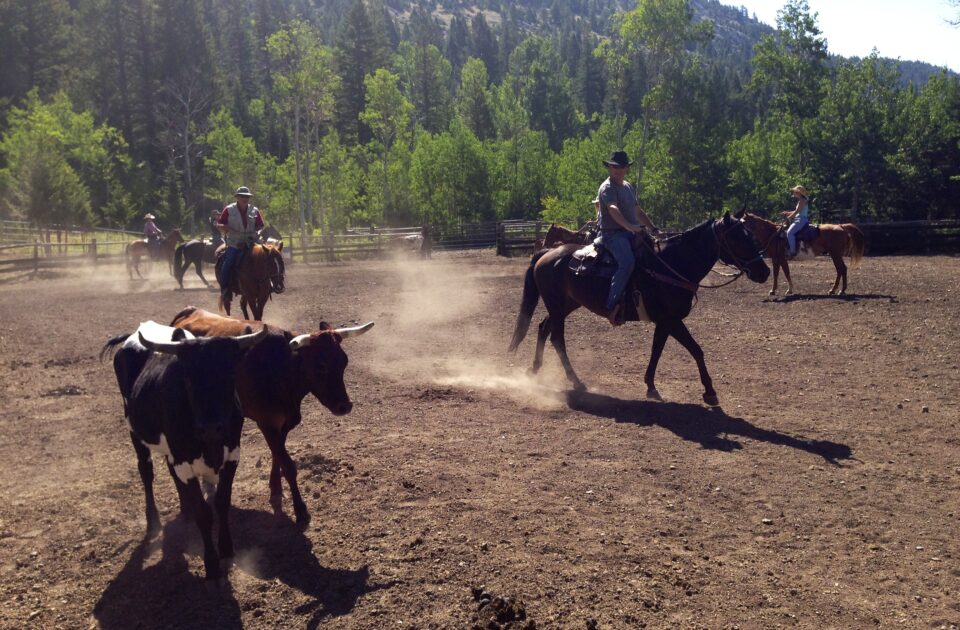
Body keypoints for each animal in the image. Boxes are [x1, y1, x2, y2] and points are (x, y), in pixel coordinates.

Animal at [101, 324, 268, 580]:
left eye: (229, 374)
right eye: (188, 377)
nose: (211, 427)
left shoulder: (232, 455)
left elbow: (222, 502)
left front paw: (227, 549)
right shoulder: (183, 460)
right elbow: (204, 513)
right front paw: (211, 563)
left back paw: (184, 508)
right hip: (135, 432)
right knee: (146, 471)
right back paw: (153, 522)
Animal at [171, 308, 374, 524]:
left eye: (344, 362)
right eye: (321, 365)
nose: (345, 406)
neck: (281, 370)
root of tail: (190, 311)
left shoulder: (283, 425)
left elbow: (278, 456)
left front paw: (275, 487)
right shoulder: (267, 424)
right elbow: (288, 465)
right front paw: (300, 509)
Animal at [510, 212, 772, 408]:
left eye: (752, 235)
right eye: (738, 238)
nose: (764, 272)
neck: (671, 264)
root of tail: (547, 253)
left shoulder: (664, 322)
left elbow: (657, 350)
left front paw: (651, 386)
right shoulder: (672, 320)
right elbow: (696, 350)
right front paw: (710, 392)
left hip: (566, 304)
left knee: (544, 328)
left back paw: (534, 370)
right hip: (557, 304)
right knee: (557, 337)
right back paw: (576, 382)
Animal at [740, 214, 868, 298]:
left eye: (742, 222)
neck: (773, 234)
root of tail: (841, 226)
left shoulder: (780, 258)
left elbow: (785, 273)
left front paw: (787, 290)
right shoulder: (776, 259)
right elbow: (778, 273)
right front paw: (775, 290)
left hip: (835, 254)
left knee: (841, 269)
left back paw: (839, 290)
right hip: (835, 255)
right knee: (841, 269)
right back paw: (836, 290)